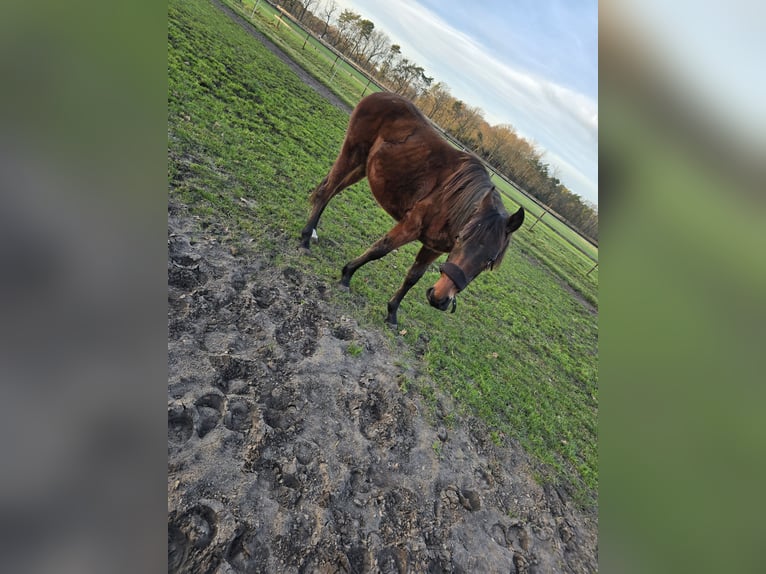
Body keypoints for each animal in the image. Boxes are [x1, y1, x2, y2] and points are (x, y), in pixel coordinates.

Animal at [300, 92, 524, 326]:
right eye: (461, 239)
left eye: (489, 260)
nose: (439, 299)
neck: (452, 202)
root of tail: (378, 95)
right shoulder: (411, 225)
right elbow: (381, 249)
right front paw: (346, 275)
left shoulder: (433, 248)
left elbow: (413, 277)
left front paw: (392, 313)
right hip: (352, 153)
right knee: (326, 191)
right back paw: (305, 240)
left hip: (363, 167)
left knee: (331, 192)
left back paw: (312, 232)